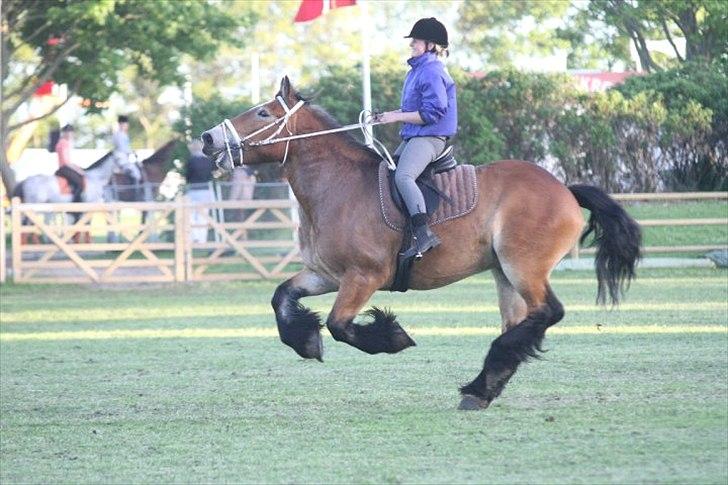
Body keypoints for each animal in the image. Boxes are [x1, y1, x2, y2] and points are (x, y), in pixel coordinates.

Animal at [200, 77, 644, 410]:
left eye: (263, 112)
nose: (207, 138)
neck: (337, 187)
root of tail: (565, 190)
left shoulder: (364, 277)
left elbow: (340, 324)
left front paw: (391, 337)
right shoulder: (324, 274)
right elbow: (281, 297)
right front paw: (306, 341)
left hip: (524, 267)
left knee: (548, 312)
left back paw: (480, 384)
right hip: (504, 273)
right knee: (522, 322)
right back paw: (481, 389)